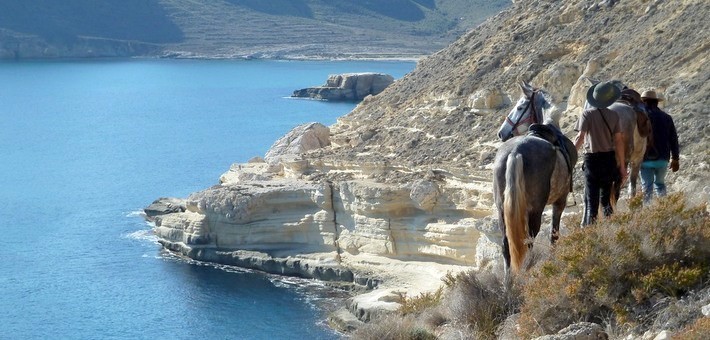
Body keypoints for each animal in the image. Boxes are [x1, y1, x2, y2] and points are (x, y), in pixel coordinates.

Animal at [496, 83, 580, 274]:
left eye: (520, 107)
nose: (501, 133)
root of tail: (515, 152)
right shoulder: (560, 202)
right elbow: (554, 235)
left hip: (501, 210)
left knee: (506, 246)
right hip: (535, 211)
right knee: (529, 244)